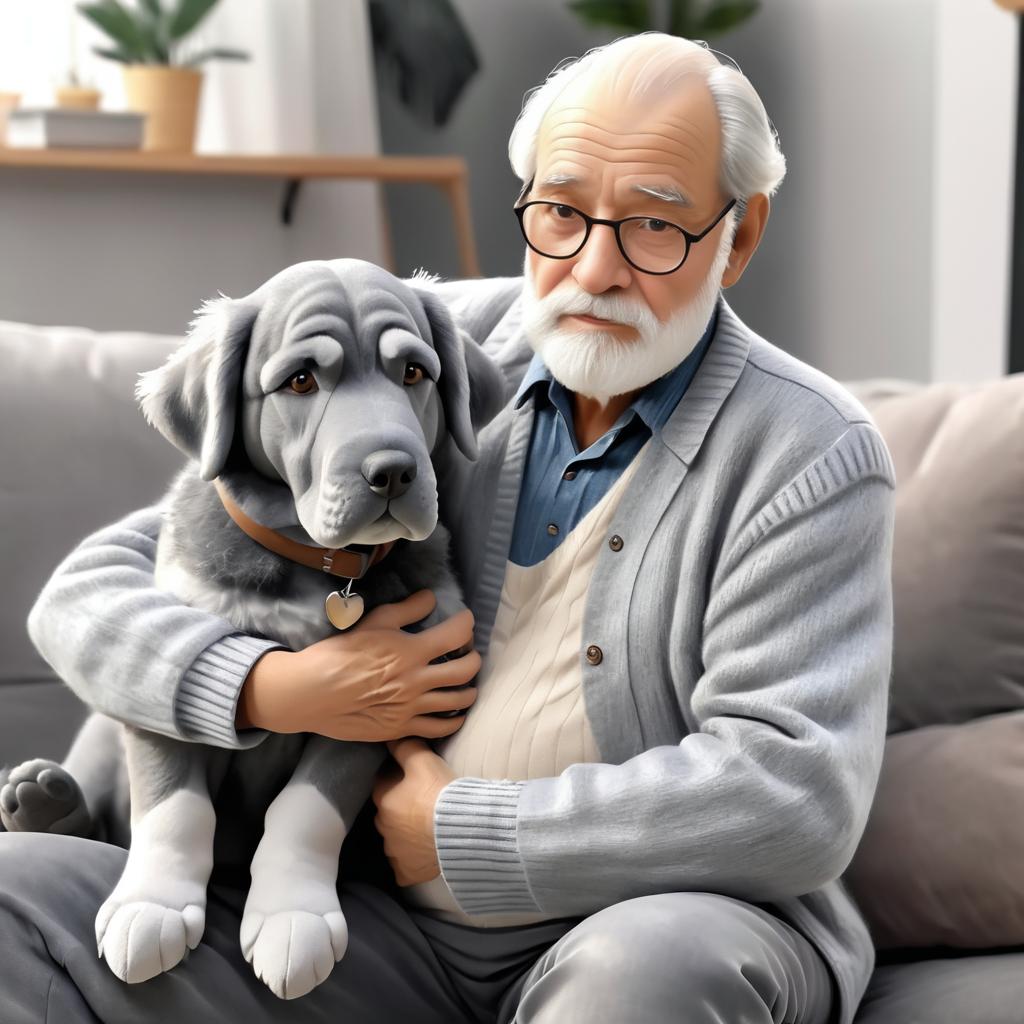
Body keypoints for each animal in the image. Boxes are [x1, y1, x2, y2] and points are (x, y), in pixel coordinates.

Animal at [0, 258, 507, 999]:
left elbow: (306, 810)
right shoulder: (166, 690)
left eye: (415, 372)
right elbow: (174, 809)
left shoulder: (374, 709)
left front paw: (292, 915)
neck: (316, 567)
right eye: (300, 380)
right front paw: (152, 904)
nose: (393, 472)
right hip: (104, 723)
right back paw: (42, 801)